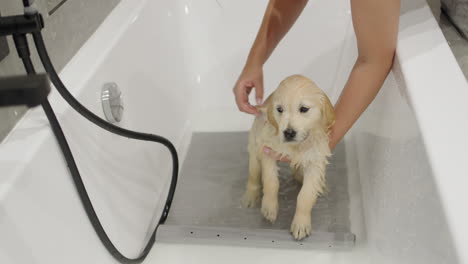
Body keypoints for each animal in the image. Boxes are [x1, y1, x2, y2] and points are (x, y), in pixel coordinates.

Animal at [241, 73, 336, 239]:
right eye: (279, 109)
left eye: (304, 109)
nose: (289, 132)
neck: (296, 146)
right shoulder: (268, 151)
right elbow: (271, 182)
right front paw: (269, 207)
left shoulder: (315, 160)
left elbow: (306, 195)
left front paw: (301, 223)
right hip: (254, 147)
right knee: (253, 176)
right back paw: (250, 197)